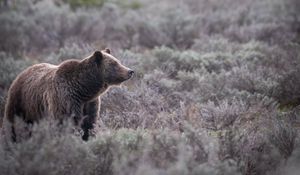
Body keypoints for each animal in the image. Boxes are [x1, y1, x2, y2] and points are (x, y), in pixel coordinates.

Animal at [4, 48, 134, 142]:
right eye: (114, 63)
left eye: (118, 61)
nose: (130, 71)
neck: (84, 90)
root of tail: (21, 73)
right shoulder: (65, 99)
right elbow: (66, 123)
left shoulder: (90, 103)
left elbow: (89, 124)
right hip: (21, 102)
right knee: (12, 124)